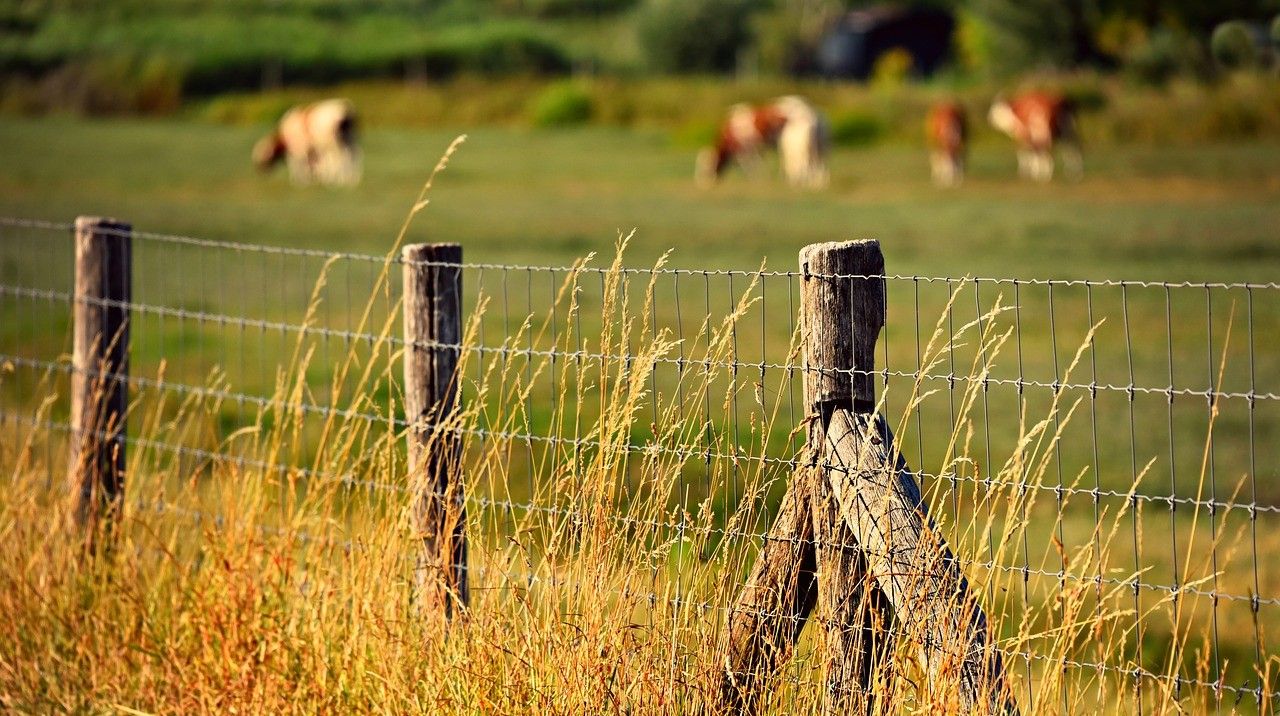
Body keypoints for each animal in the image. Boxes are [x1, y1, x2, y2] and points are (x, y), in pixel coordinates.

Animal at [696, 96, 830, 190]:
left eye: (707, 167)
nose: (703, 184)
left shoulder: (747, 148)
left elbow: (752, 165)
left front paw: (757, 180)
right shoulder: (756, 148)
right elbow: (759, 164)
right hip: (820, 146)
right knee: (819, 163)